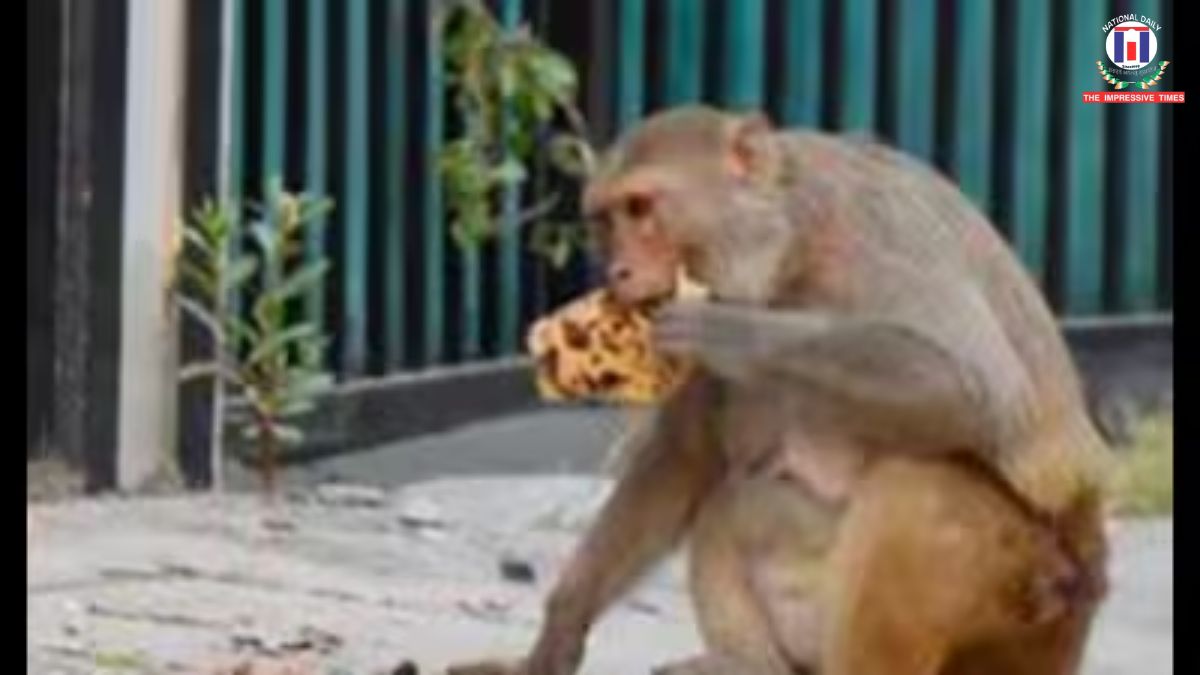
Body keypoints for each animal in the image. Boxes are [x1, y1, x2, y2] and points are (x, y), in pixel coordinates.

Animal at [445, 106, 1110, 675]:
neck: (790, 243)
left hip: (1022, 591)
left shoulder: (877, 236)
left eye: (641, 208)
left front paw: (734, 331)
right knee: (732, 507)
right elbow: (686, 458)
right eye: (606, 219)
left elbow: (979, 392)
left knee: (910, 487)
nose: (619, 272)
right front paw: (559, 630)